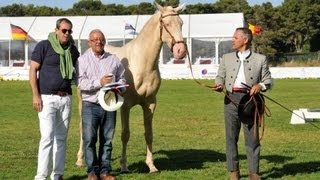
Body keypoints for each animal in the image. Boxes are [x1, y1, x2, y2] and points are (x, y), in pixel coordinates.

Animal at [75, 2, 186, 172]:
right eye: (166, 24)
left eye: (181, 23)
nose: (181, 51)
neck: (142, 62)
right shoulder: (125, 106)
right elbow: (125, 134)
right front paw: (124, 165)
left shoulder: (150, 104)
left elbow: (149, 134)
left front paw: (151, 165)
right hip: (83, 102)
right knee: (83, 128)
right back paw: (80, 160)